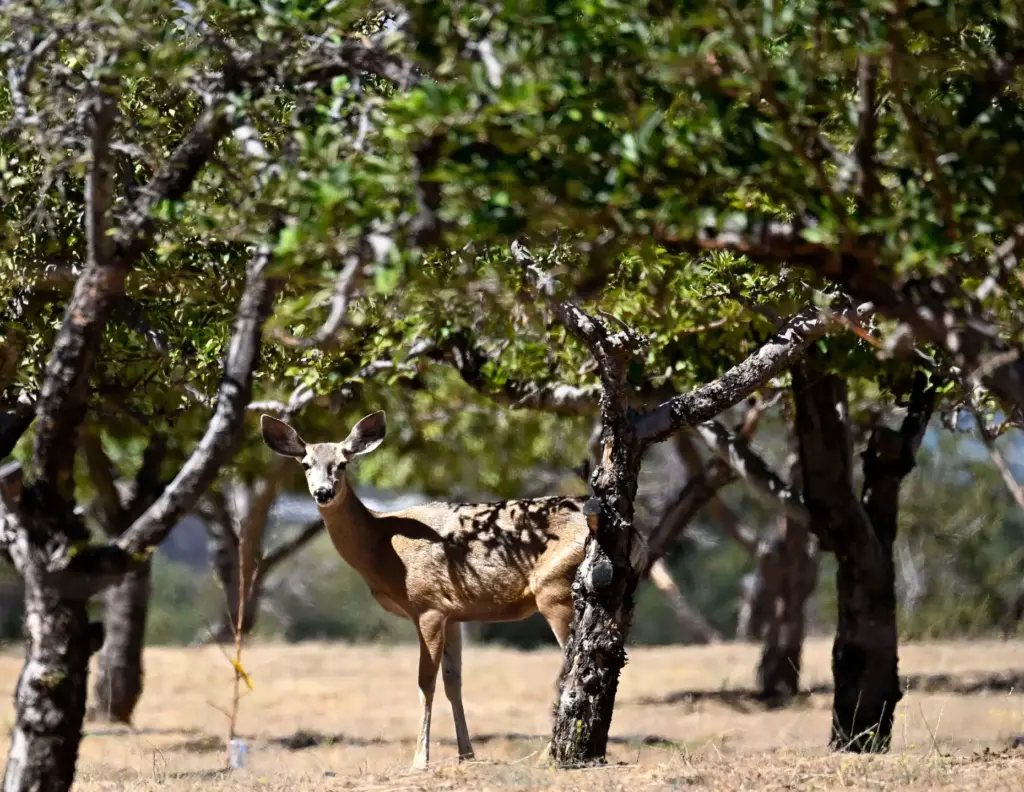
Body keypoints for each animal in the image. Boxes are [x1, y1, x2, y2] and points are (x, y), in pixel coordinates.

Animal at [259, 410, 647, 770]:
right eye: (306, 464)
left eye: (343, 462)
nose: (323, 492)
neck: (383, 544)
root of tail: (635, 534)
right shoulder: (455, 614)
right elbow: (453, 681)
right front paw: (466, 754)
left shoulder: (428, 605)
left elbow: (425, 682)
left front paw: (420, 760)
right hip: (618, 593)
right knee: (608, 656)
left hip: (555, 587)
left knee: (574, 662)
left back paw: (551, 754)